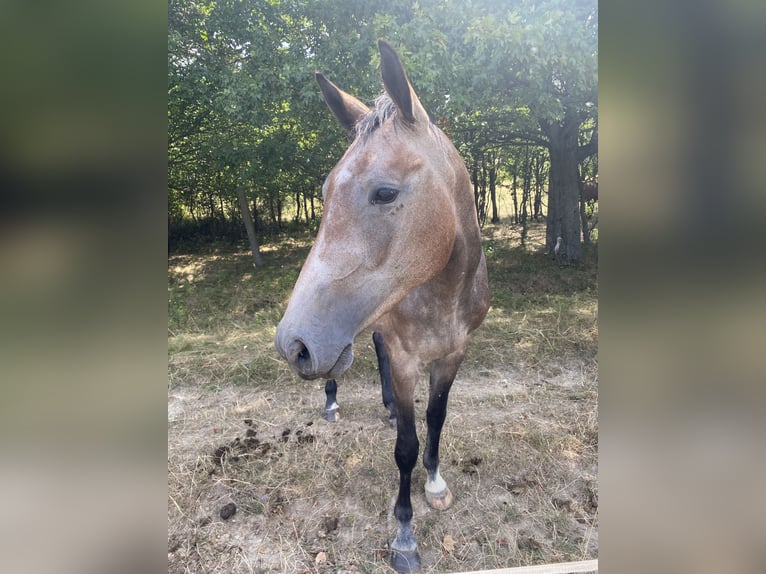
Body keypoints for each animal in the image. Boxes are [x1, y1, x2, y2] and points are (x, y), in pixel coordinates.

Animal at [278, 39, 492, 572]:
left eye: (385, 192)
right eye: (325, 193)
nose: (292, 343)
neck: (445, 293)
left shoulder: (453, 354)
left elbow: (435, 420)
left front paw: (435, 484)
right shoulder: (404, 357)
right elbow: (406, 448)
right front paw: (404, 534)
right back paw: (334, 402)